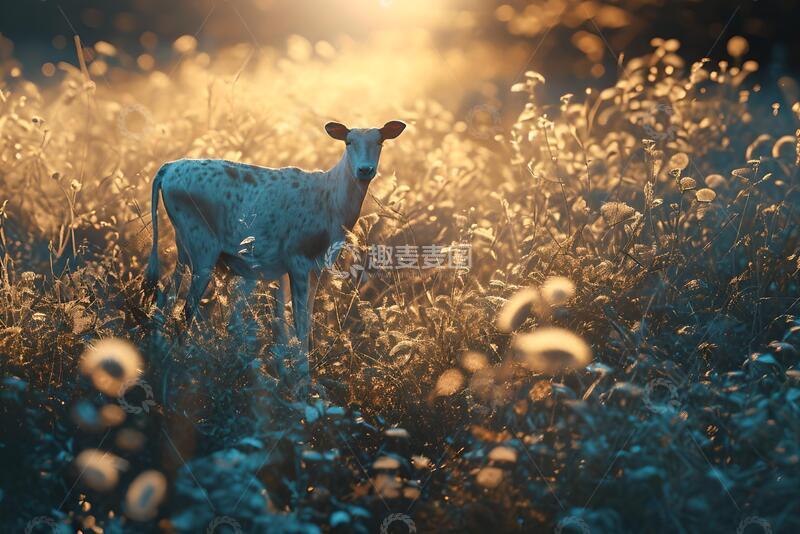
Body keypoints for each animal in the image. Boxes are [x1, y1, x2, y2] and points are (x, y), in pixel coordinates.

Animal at [143, 120, 406, 379]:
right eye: (348, 142)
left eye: (380, 142)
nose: (365, 170)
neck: (331, 202)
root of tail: (168, 169)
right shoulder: (297, 259)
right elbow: (299, 322)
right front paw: (302, 376)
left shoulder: (315, 266)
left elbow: (299, 321)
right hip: (202, 247)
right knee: (185, 310)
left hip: (184, 246)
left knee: (164, 299)